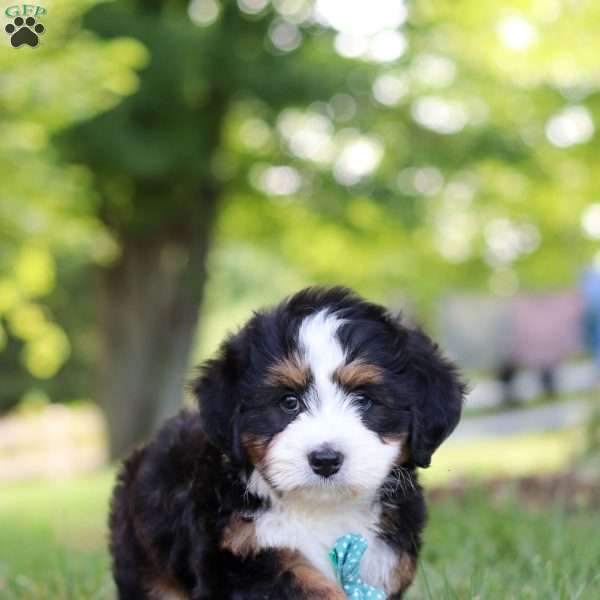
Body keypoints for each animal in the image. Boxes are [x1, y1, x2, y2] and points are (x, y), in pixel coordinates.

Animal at [110, 288, 466, 596]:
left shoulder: (383, 561)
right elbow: (309, 588)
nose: (325, 459)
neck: (323, 509)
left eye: (364, 400)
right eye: (289, 402)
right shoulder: (239, 554)